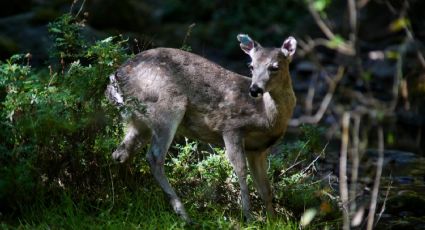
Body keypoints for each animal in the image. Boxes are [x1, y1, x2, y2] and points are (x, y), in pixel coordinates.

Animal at [107, 33, 294, 222]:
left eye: (275, 67)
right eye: (251, 66)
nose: (255, 89)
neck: (266, 118)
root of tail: (115, 79)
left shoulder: (257, 150)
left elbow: (266, 188)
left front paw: (273, 219)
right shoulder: (231, 127)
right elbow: (241, 171)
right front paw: (248, 217)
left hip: (140, 123)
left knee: (120, 153)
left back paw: (127, 195)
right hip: (167, 107)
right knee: (154, 157)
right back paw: (183, 214)